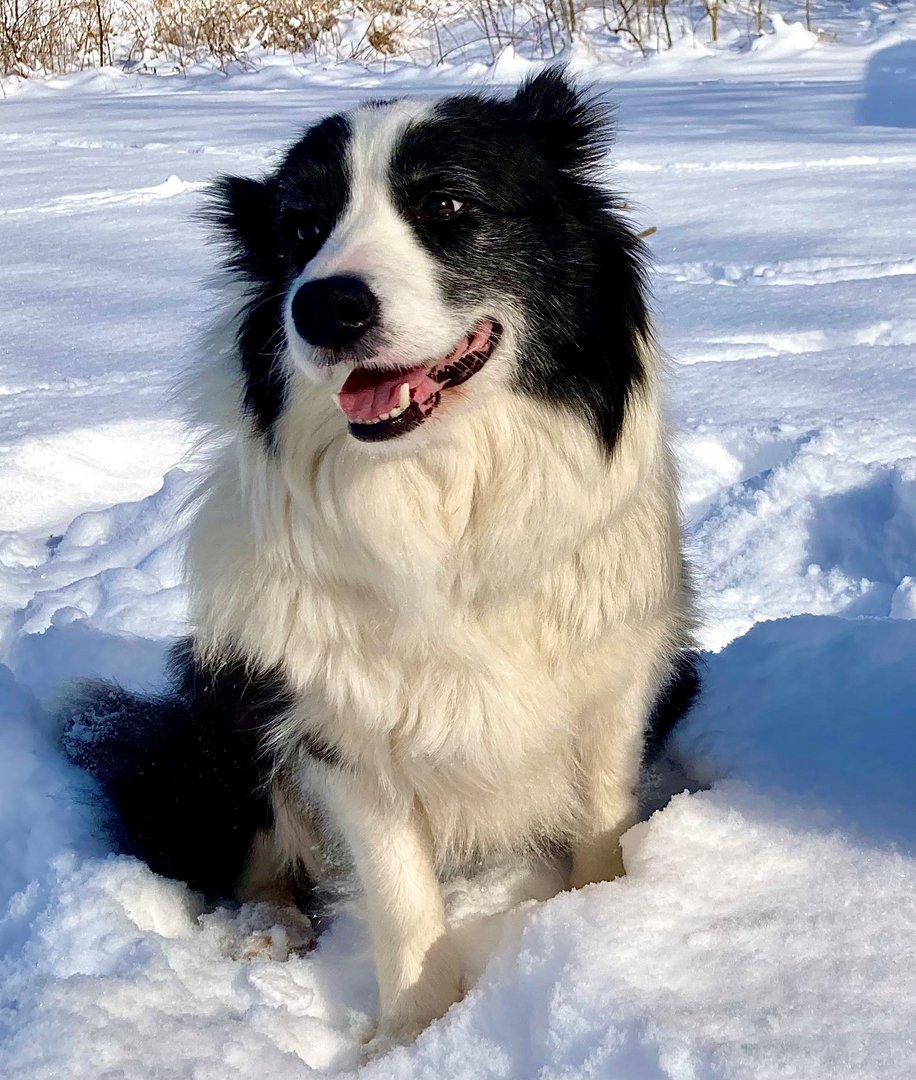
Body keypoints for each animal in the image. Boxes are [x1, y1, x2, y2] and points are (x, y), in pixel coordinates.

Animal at [60, 69, 695, 1054]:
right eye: (298, 231)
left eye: (447, 204)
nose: (324, 306)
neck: (441, 497)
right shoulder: (342, 725)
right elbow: (402, 899)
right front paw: (416, 1032)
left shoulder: (612, 687)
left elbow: (600, 819)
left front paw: (599, 929)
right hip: (228, 693)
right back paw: (268, 929)